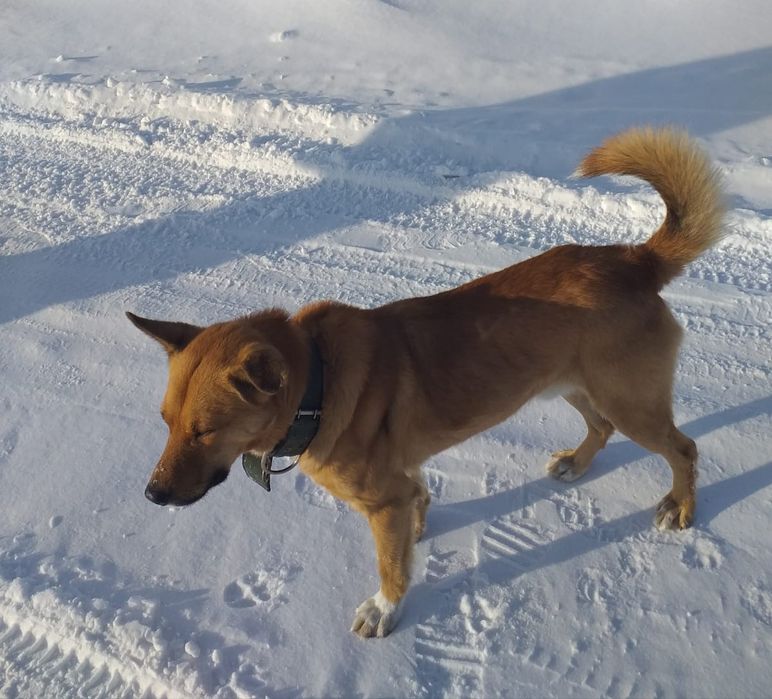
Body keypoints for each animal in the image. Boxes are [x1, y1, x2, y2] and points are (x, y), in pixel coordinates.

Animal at [127, 127, 725, 638]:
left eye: (205, 431)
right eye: (166, 422)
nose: (152, 495)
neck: (319, 384)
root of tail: (634, 259)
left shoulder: (382, 501)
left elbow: (390, 566)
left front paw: (385, 608)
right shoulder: (402, 480)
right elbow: (416, 507)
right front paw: (418, 532)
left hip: (630, 401)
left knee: (684, 449)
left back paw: (681, 506)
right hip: (579, 386)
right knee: (601, 428)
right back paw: (578, 464)